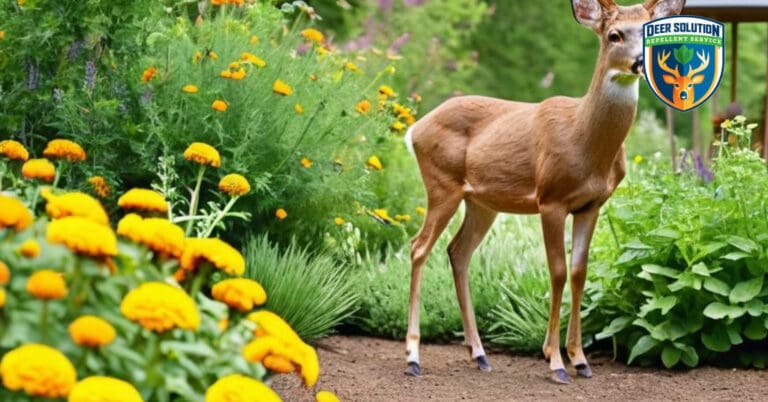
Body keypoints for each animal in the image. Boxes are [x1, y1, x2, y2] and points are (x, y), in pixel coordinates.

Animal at [403, 0, 685, 384]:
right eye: (614, 35)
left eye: (650, 31)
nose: (641, 62)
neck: (584, 140)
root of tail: (414, 128)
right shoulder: (551, 199)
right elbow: (558, 271)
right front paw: (555, 362)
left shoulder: (591, 205)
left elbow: (580, 272)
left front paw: (580, 360)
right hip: (441, 184)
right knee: (418, 247)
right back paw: (413, 357)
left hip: (481, 202)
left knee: (457, 251)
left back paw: (480, 354)